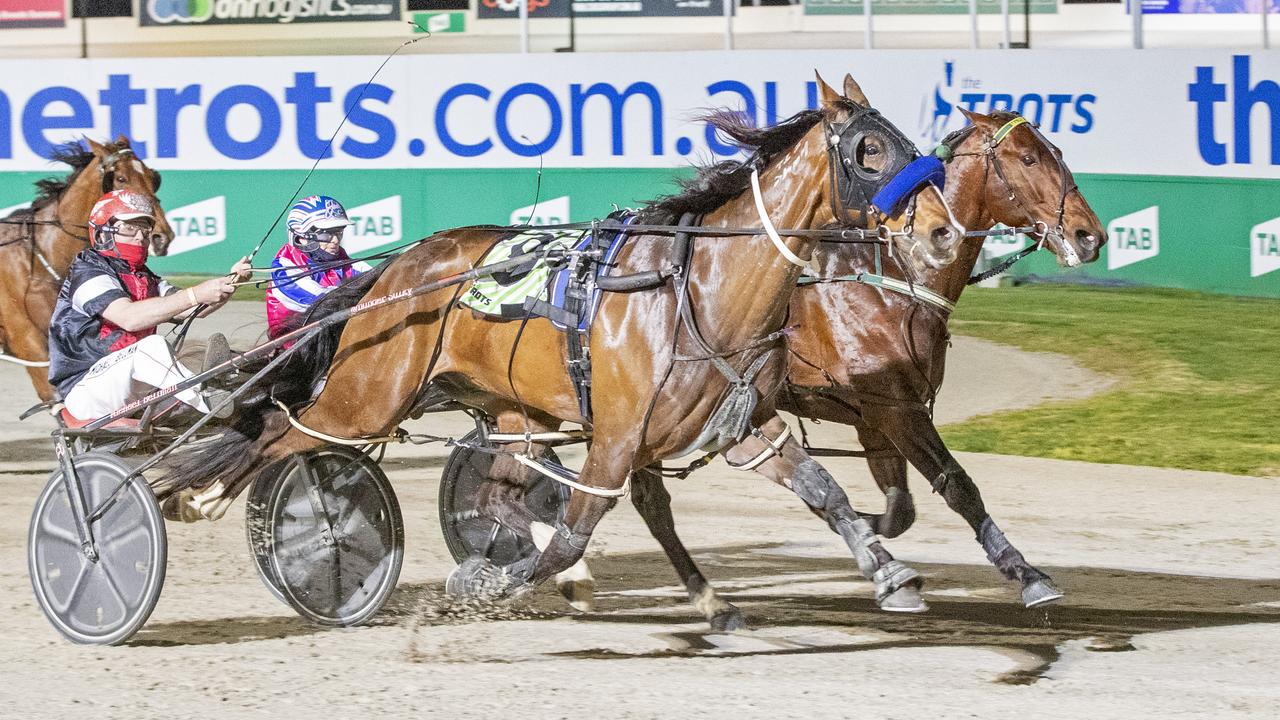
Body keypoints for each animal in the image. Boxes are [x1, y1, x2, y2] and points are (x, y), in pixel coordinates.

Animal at [167, 73, 962, 617]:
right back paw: (201, 496)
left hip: (511, 411)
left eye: (905, 138)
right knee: (280, 431)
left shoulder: (741, 426)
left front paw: (890, 573)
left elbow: (823, 487)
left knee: (496, 488)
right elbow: (575, 531)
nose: (941, 231)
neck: (693, 288)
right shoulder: (615, 436)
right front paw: (492, 580)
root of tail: (399, 267)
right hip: (367, 394)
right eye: (867, 148)